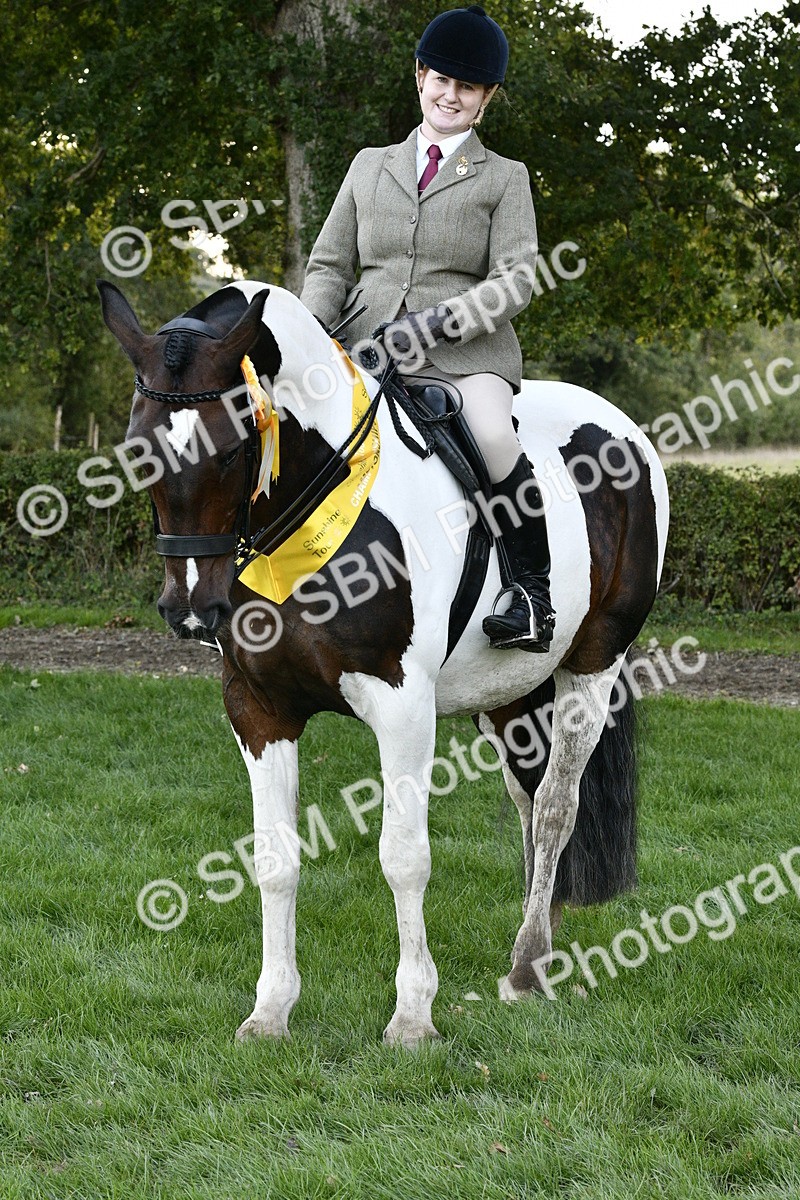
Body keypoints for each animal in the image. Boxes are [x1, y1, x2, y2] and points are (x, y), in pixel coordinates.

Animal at [98, 278, 669, 1046]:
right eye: (138, 451)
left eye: (232, 447)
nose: (189, 607)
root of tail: (620, 426)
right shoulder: (257, 708)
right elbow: (274, 858)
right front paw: (270, 1010)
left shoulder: (402, 707)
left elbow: (404, 858)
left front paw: (412, 1016)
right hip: (511, 692)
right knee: (527, 797)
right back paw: (536, 944)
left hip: (594, 662)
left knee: (555, 804)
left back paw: (526, 964)